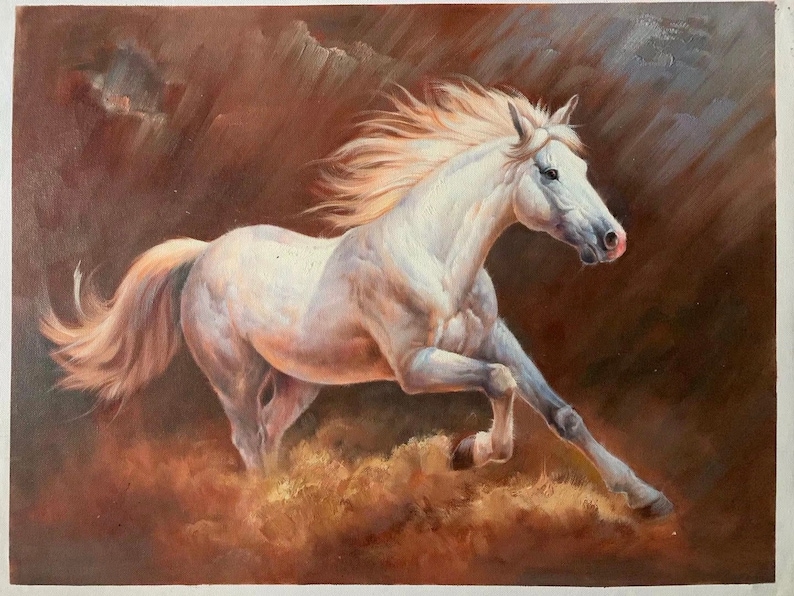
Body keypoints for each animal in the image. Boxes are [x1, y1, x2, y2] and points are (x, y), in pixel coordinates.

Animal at [42, 79, 673, 517]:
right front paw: (469, 452)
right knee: (247, 439)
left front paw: (645, 497)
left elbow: (561, 413)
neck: (434, 257)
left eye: (582, 167)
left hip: (299, 381)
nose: (613, 240)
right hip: (235, 377)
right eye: (548, 172)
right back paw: (266, 514)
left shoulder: (494, 337)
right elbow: (499, 384)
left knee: (269, 432)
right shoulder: (415, 367)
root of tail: (204, 253)